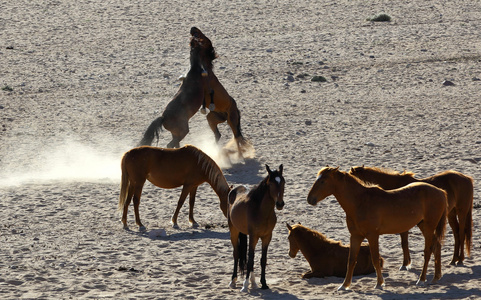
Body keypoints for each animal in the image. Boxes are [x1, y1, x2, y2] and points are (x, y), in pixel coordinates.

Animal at [138, 26, 253, 157]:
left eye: (198, 35)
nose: (193, 28)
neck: (196, 70)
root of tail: (163, 117)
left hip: (213, 121)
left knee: (229, 136)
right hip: (190, 128)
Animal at [227, 163, 284, 292]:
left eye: (283, 182)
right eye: (271, 184)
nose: (280, 204)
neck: (261, 211)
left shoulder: (267, 237)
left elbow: (262, 260)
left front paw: (264, 284)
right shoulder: (254, 236)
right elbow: (250, 260)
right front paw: (244, 285)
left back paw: (253, 283)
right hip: (234, 231)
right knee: (236, 254)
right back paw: (233, 281)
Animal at [308, 166, 446, 290]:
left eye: (323, 181)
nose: (310, 199)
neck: (360, 202)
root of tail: (440, 191)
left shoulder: (372, 236)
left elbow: (375, 259)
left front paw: (379, 283)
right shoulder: (355, 236)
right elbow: (351, 260)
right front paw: (344, 285)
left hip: (428, 227)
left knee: (428, 251)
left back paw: (421, 280)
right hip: (423, 225)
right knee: (437, 245)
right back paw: (436, 277)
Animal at [346, 166, 474, 268]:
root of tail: (466, 178)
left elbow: (404, 243)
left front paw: (405, 264)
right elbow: (404, 243)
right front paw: (407, 262)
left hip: (461, 212)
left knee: (461, 233)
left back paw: (460, 259)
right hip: (451, 213)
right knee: (456, 233)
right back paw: (454, 259)